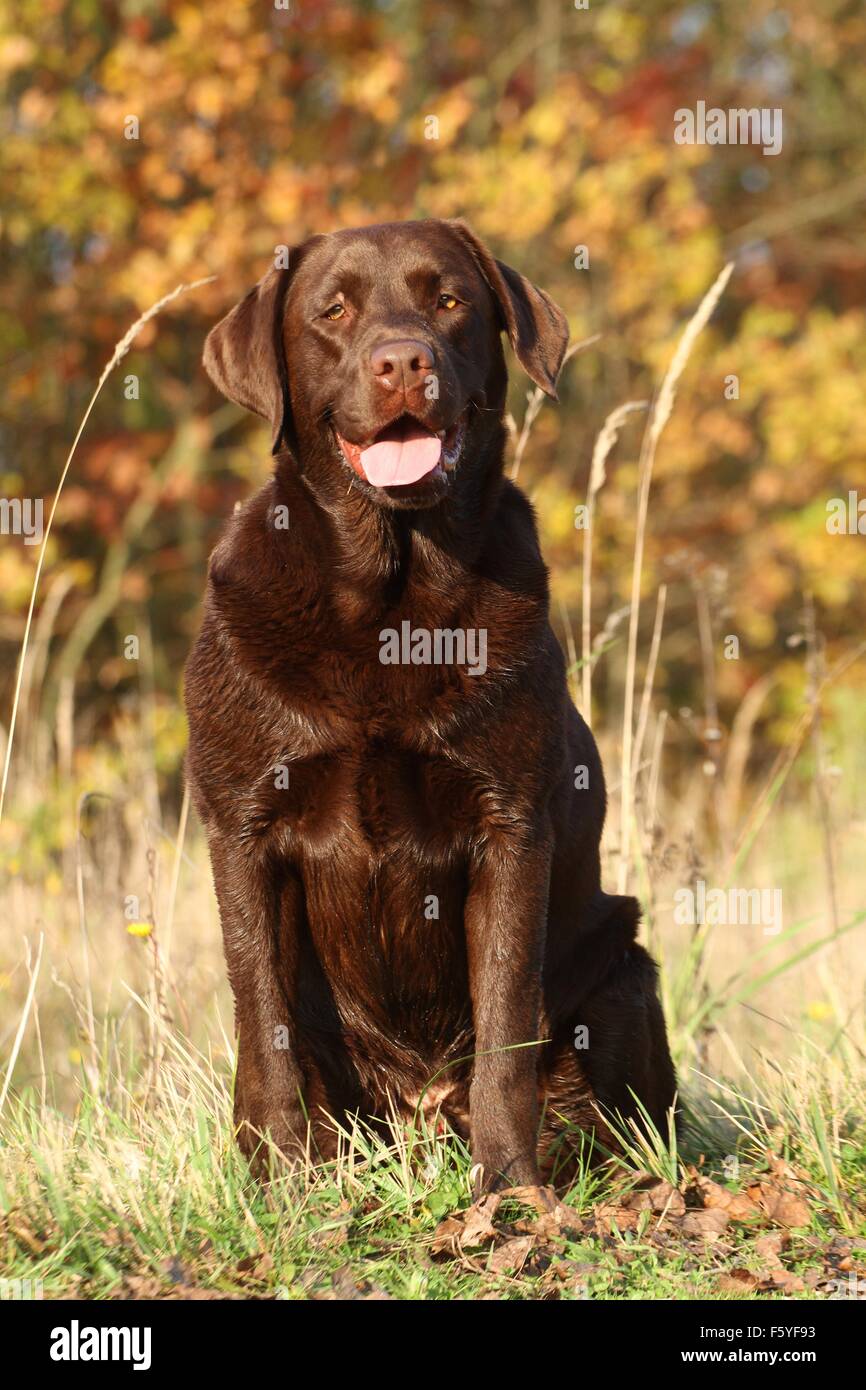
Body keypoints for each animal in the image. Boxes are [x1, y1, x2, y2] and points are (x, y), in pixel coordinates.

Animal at [186, 219, 678, 1195]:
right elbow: (266, 1028)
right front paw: (279, 1186)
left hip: (623, 964)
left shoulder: (511, 826)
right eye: (333, 310)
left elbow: (506, 1031)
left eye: (449, 299)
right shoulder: (243, 828)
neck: (390, 602)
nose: (403, 361)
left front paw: (510, 1191)